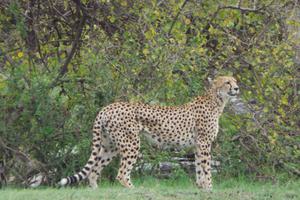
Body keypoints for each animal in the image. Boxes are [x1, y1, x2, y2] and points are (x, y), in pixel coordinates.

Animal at [59, 76, 240, 190]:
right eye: (227, 82)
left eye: (235, 81)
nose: (237, 88)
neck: (216, 100)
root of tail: (108, 107)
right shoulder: (204, 143)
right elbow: (207, 168)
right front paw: (209, 188)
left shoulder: (198, 145)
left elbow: (199, 168)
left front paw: (201, 188)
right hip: (131, 143)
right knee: (121, 174)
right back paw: (134, 190)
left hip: (110, 146)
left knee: (94, 170)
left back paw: (96, 190)